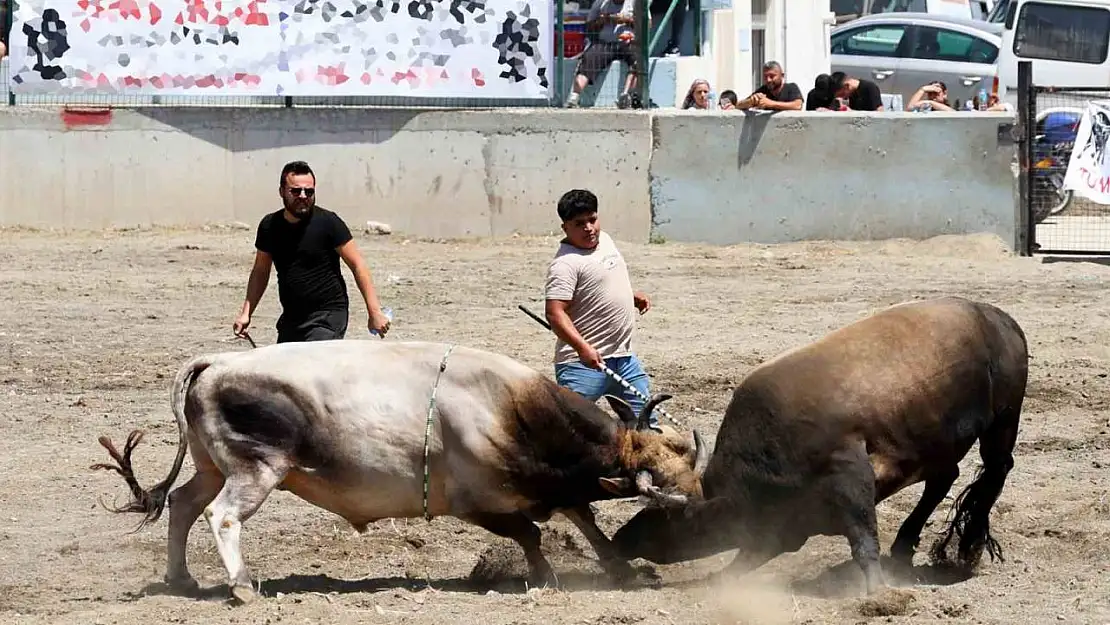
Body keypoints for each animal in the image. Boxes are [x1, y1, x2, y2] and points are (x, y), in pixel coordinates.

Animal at [91, 339, 705, 603]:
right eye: (668, 478)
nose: (702, 498)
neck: (511, 411)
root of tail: (217, 361)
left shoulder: (552, 488)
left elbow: (585, 520)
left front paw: (621, 569)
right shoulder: (478, 502)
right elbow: (532, 532)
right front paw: (545, 573)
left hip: (211, 466)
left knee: (183, 504)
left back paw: (180, 578)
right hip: (254, 471)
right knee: (220, 517)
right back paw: (241, 586)